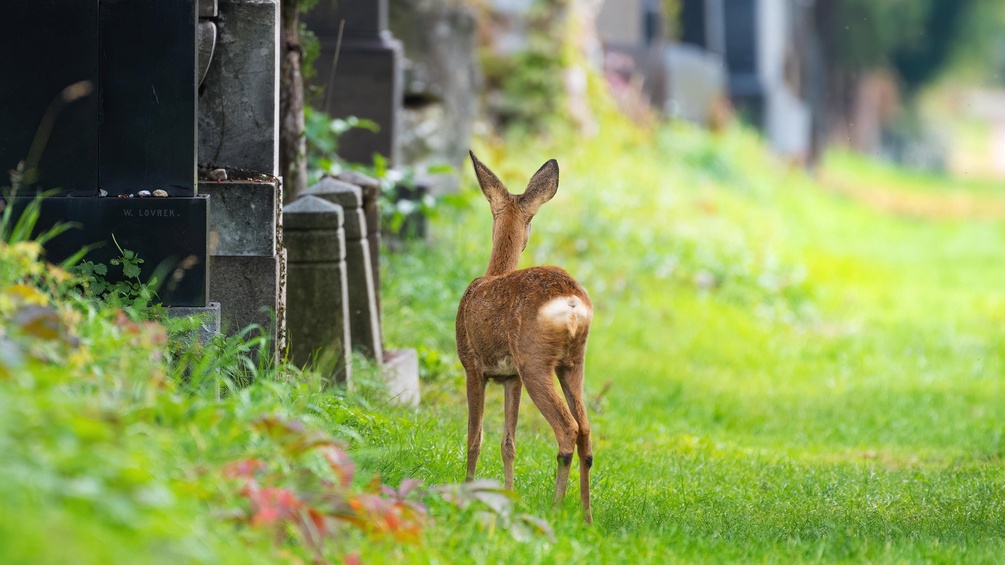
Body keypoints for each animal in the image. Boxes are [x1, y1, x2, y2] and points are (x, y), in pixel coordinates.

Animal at [456, 151, 594, 523]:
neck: (492, 273)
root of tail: (572, 303)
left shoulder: (472, 366)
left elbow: (474, 437)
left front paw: (467, 491)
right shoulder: (510, 377)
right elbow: (508, 443)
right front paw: (508, 493)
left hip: (535, 361)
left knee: (568, 429)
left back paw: (556, 509)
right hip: (573, 362)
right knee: (586, 431)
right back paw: (586, 516)